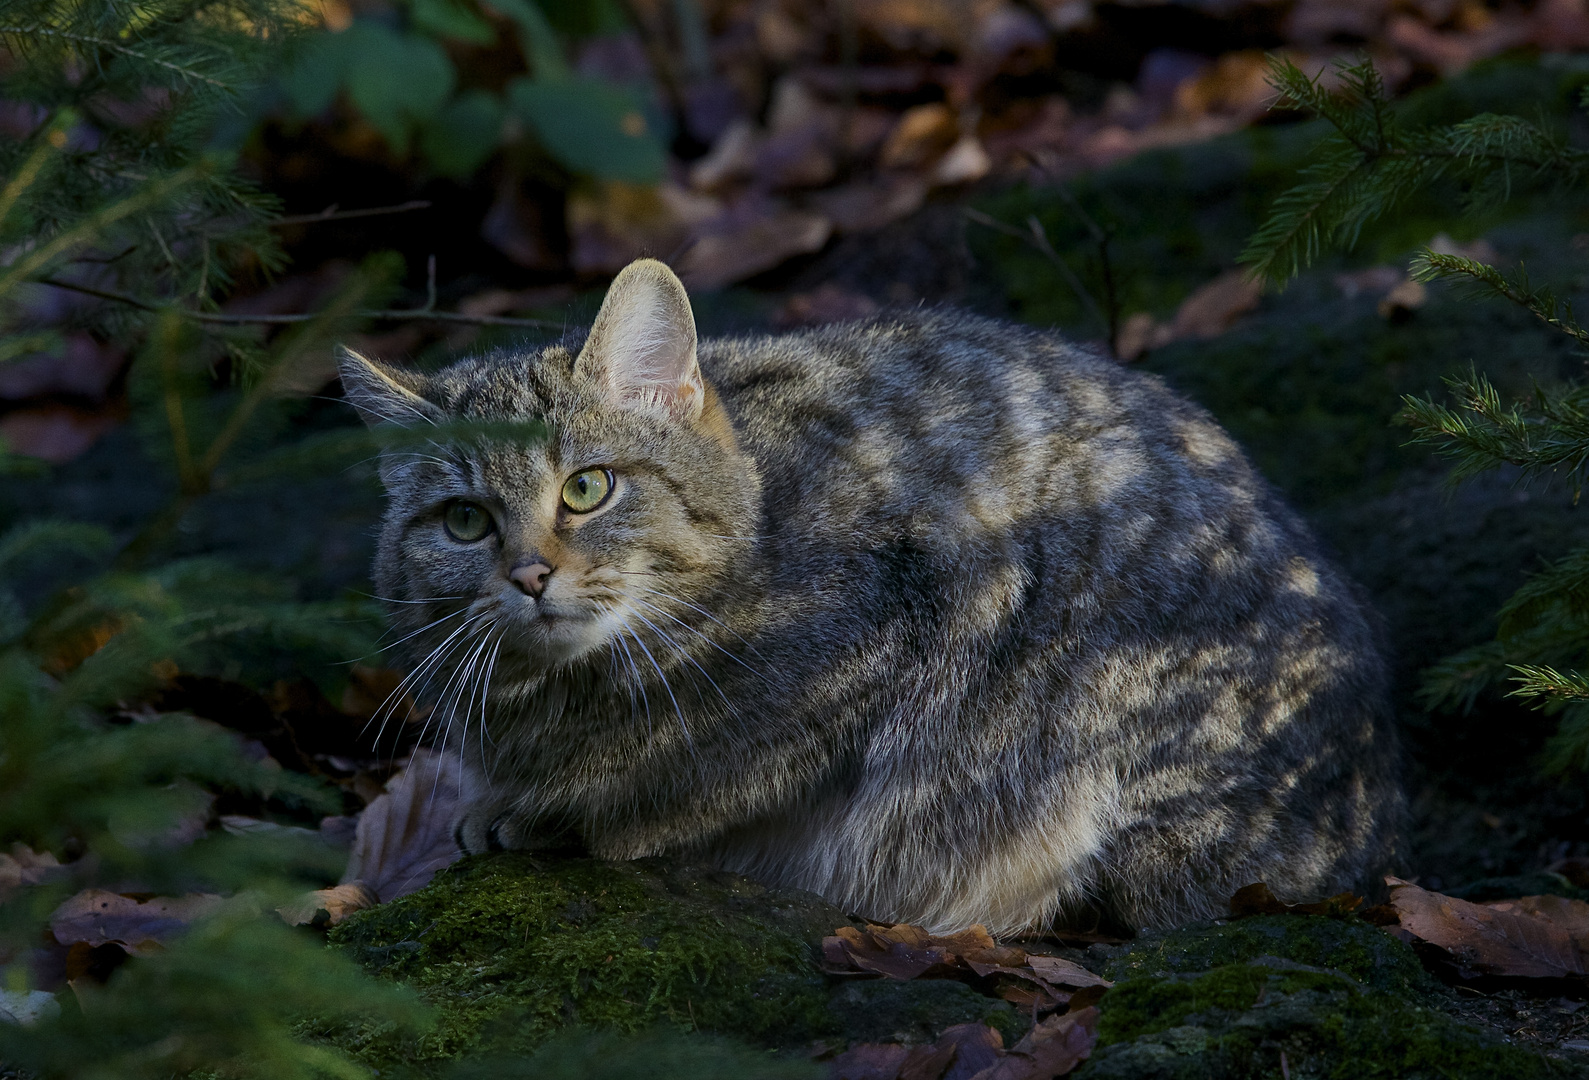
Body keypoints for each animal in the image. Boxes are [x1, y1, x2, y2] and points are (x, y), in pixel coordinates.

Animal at [344, 262, 1404, 933]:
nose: (529, 573)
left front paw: (558, 817)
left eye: (588, 487)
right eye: (464, 522)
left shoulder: (907, 620)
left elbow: (697, 775)